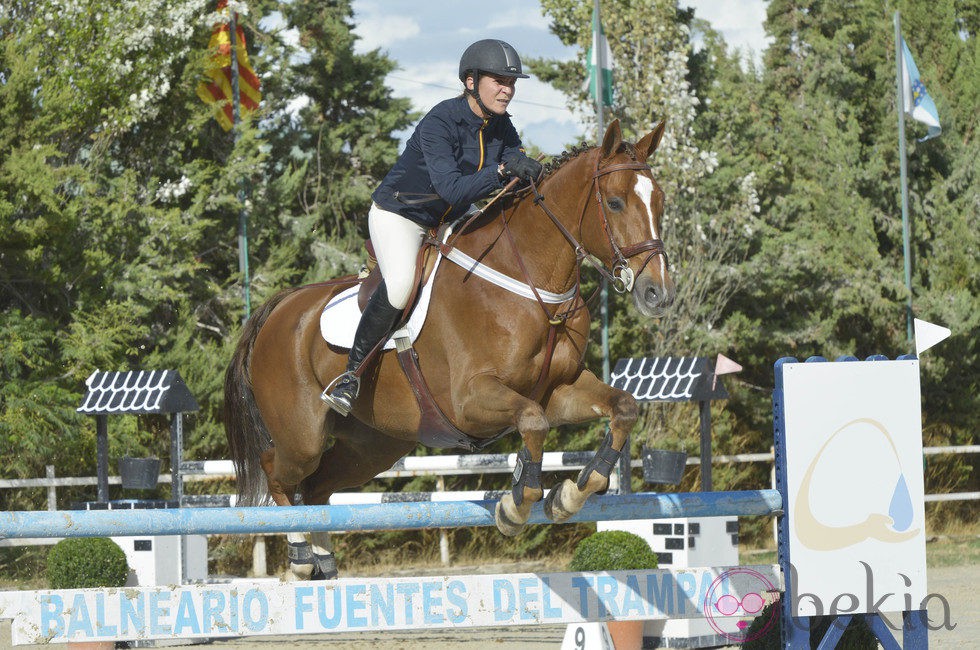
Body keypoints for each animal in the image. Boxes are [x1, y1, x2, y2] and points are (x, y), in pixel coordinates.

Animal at [222, 117, 672, 576]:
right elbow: (532, 422)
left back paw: (324, 564)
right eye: (614, 203)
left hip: (373, 445)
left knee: (316, 488)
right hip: (302, 437)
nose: (657, 293)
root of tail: (278, 308)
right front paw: (515, 507)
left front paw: (571, 494)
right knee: (278, 472)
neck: (533, 286)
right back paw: (299, 557)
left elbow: (621, 408)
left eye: (660, 203)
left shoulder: (558, 390)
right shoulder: (469, 401)